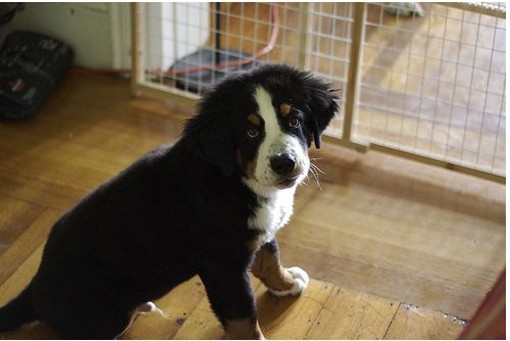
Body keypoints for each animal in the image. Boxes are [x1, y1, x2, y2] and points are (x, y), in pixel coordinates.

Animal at [0, 63, 338, 338]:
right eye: (252, 132)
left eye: (294, 121)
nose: (285, 163)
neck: (235, 179)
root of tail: (35, 288)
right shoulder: (222, 264)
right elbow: (243, 317)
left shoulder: (255, 233)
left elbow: (270, 256)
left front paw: (286, 282)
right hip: (104, 312)